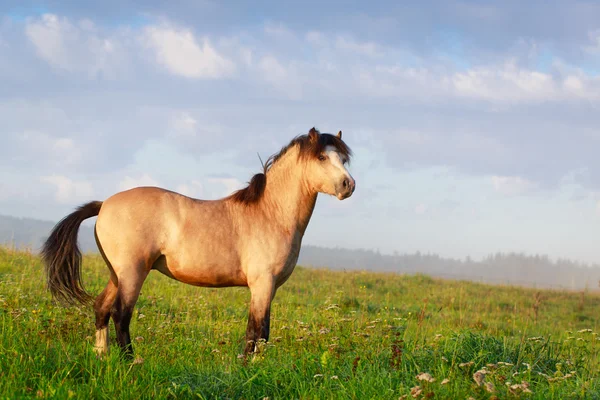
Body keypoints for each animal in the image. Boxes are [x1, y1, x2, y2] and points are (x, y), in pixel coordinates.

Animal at [42, 128, 354, 360]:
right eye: (322, 157)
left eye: (343, 158)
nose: (348, 185)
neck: (271, 213)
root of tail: (104, 203)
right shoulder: (262, 284)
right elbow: (257, 330)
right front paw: (250, 368)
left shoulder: (270, 287)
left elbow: (259, 332)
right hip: (132, 273)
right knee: (121, 313)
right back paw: (130, 359)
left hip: (115, 274)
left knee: (101, 308)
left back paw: (101, 354)